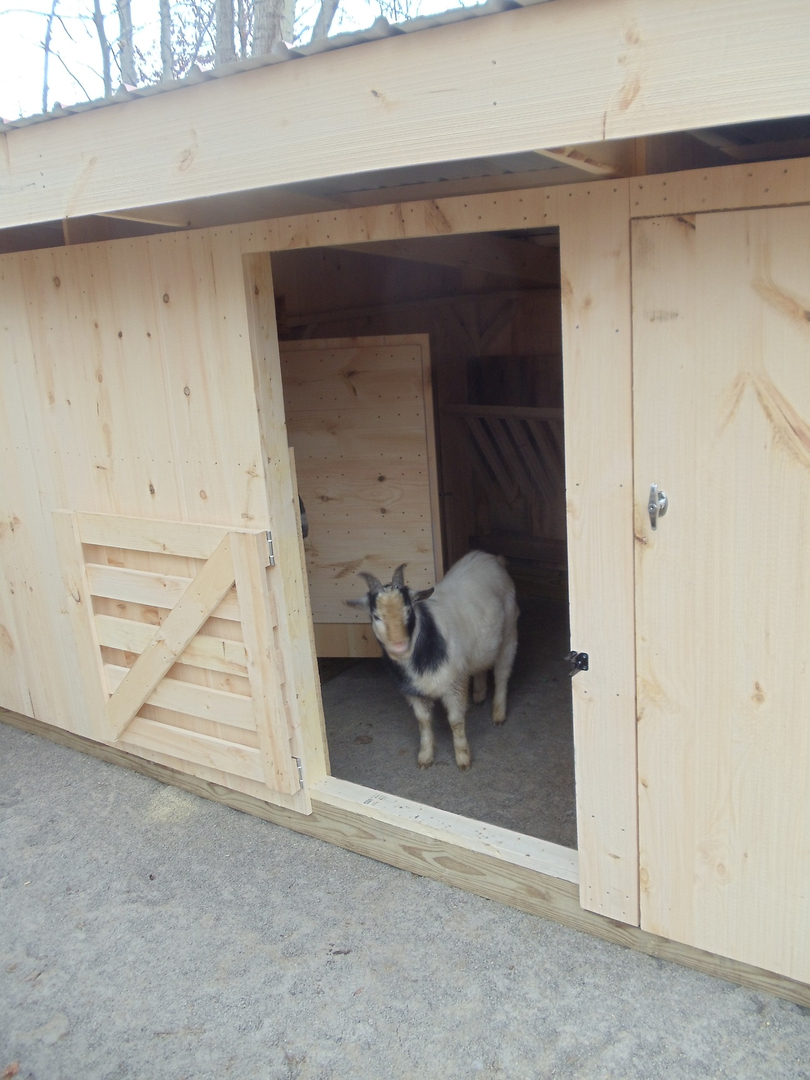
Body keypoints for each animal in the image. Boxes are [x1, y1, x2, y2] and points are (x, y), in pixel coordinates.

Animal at [345, 552, 516, 773]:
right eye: (376, 616)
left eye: (408, 609)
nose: (399, 646)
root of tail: (491, 558)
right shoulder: (414, 692)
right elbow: (423, 722)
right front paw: (425, 757)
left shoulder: (454, 684)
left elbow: (455, 722)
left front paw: (463, 759)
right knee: (481, 666)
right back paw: (479, 696)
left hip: (510, 634)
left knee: (502, 674)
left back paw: (498, 715)